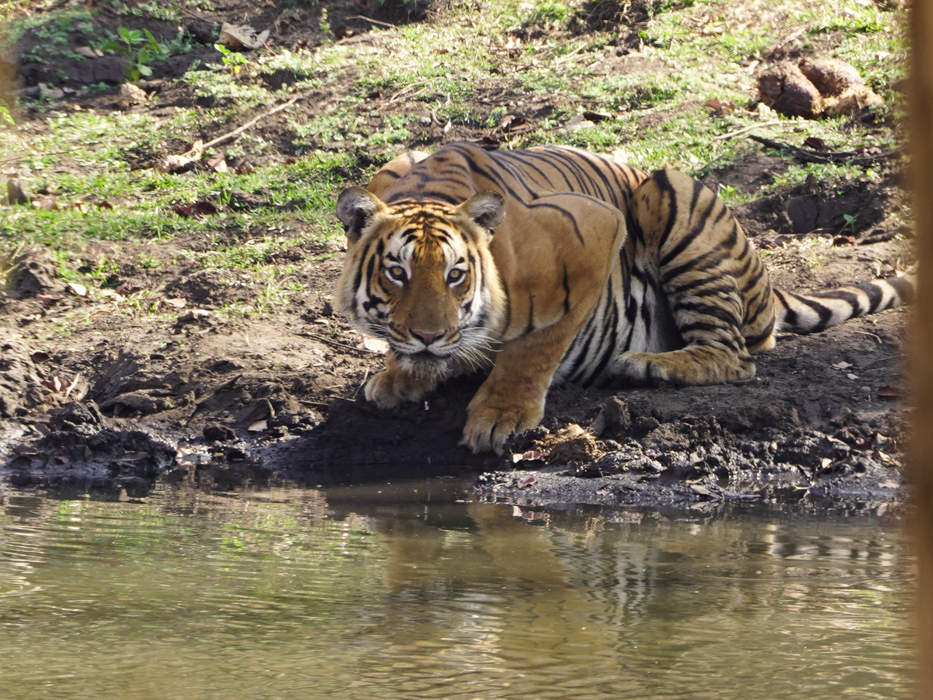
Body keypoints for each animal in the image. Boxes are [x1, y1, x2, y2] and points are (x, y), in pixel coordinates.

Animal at [334, 144, 912, 454]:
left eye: (456, 275)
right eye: (397, 273)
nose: (429, 337)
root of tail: (767, 284)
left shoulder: (594, 233)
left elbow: (535, 346)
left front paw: (501, 414)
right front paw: (399, 376)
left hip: (671, 195)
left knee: (737, 356)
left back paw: (648, 365)